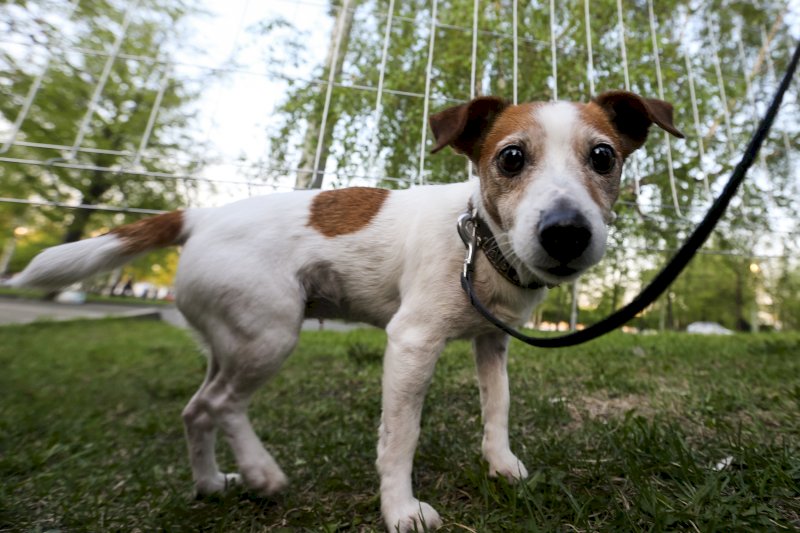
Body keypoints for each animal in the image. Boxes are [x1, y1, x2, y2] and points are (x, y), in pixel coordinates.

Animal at [7, 90, 680, 528]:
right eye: (511, 158)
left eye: (603, 157)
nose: (566, 232)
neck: (480, 242)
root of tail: (200, 215)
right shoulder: (411, 343)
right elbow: (400, 438)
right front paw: (400, 510)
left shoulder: (492, 344)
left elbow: (498, 409)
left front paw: (501, 465)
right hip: (270, 334)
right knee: (223, 406)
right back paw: (262, 474)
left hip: (231, 339)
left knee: (197, 409)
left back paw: (211, 483)